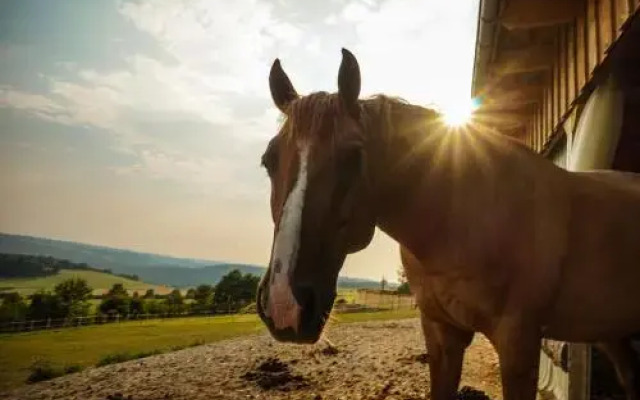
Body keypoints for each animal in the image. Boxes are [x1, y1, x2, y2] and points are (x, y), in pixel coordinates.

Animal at [254, 49, 640, 400]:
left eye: (354, 156)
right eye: (268, 161)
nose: (284, 305)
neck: (460, 223)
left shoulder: (519, 346)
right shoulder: (442, 334)